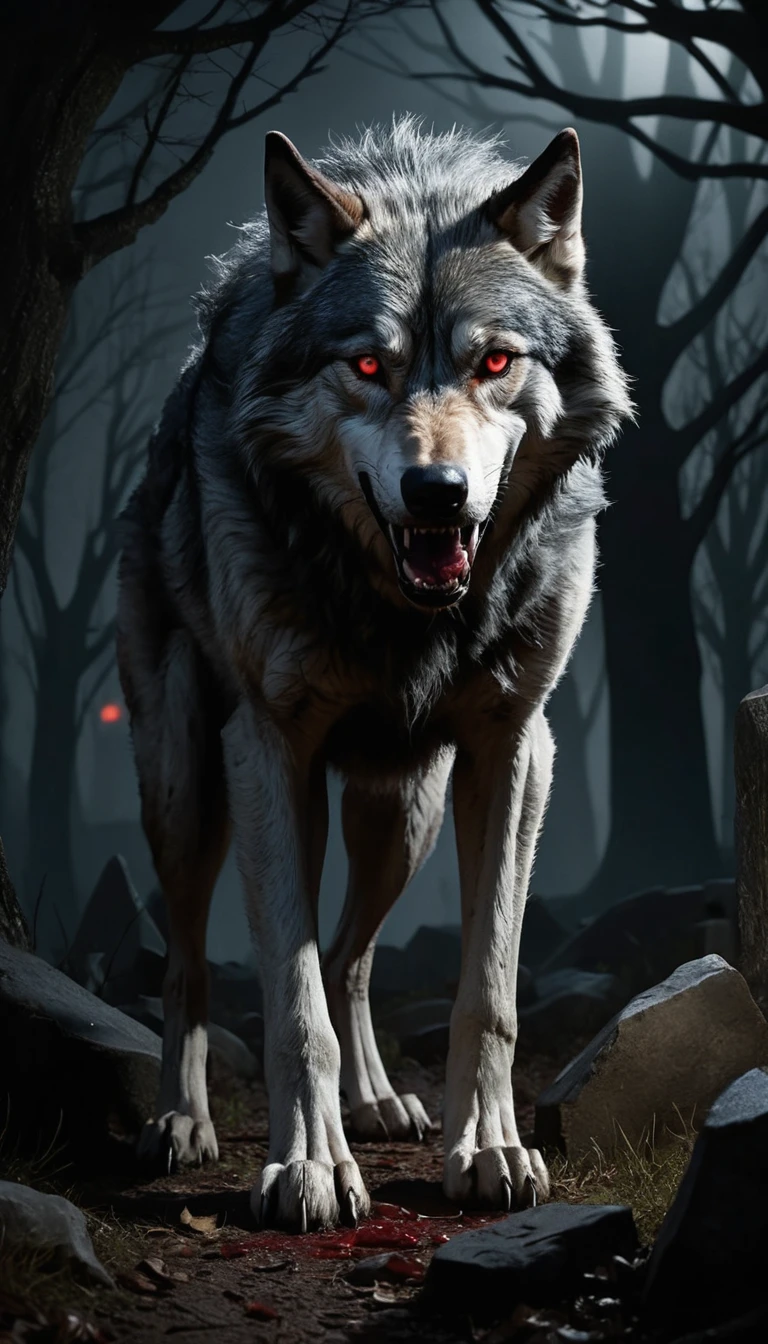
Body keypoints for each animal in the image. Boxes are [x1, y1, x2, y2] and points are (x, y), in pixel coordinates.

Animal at [117, 117, 631, 1233]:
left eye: (494, 360)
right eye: (365, 363)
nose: (436, 491)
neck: (407, 615)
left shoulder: (514, 750)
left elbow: (488, 991)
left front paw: (488, 1149)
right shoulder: (267, 749)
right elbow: (290, 1001)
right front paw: (307, 1167)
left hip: (402, 813)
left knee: (351, 953)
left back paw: (381, 1101)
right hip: (191, 791)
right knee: (191, 959)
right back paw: (181, 1122)